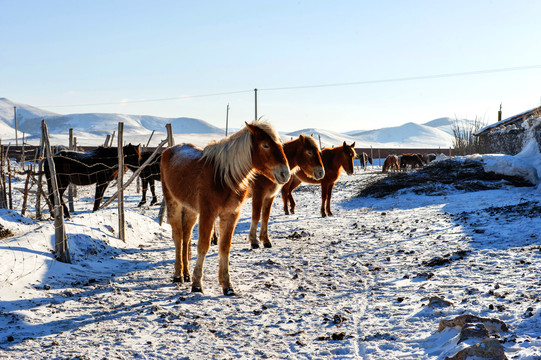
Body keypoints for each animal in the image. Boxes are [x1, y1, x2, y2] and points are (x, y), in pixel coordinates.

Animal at [158, 121, 288, 296]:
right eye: (265, 145)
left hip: (191, 210)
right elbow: (203, 246)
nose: (285, 173)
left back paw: (186, 273)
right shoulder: (208, 214)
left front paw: (227, 285)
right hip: (174, 204)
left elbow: (225, 247)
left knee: (186, 236)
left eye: (280, 144)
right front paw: (197, 284)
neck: (224, 177)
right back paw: (178, 275)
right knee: (178, 237)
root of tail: (168, 150)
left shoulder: (231, 214)